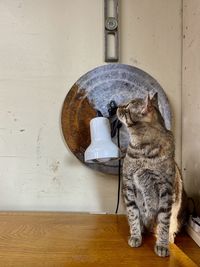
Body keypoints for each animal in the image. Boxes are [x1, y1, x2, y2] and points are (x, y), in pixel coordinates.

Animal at [116, 93, 184, 258]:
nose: (117, 106)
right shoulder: (129, 185)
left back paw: (169, 237)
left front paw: (162, 245)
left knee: (169, 226)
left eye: (127, 106)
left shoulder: (166, 190)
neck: (142, 150)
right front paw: (135, 235)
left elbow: (164, 222)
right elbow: (133, 215)